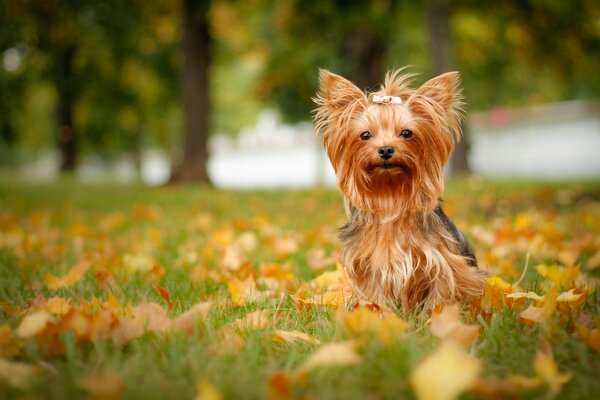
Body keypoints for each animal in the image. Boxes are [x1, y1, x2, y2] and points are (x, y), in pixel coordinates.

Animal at [312, 69, 486, 310]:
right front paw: (379, 312)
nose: (386, 149)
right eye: (365, 135)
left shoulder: (443, 263)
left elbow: (441, 293)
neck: (390, 196)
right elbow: (375, 296)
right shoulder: (367, 267)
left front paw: (437, 317)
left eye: (406, 133)